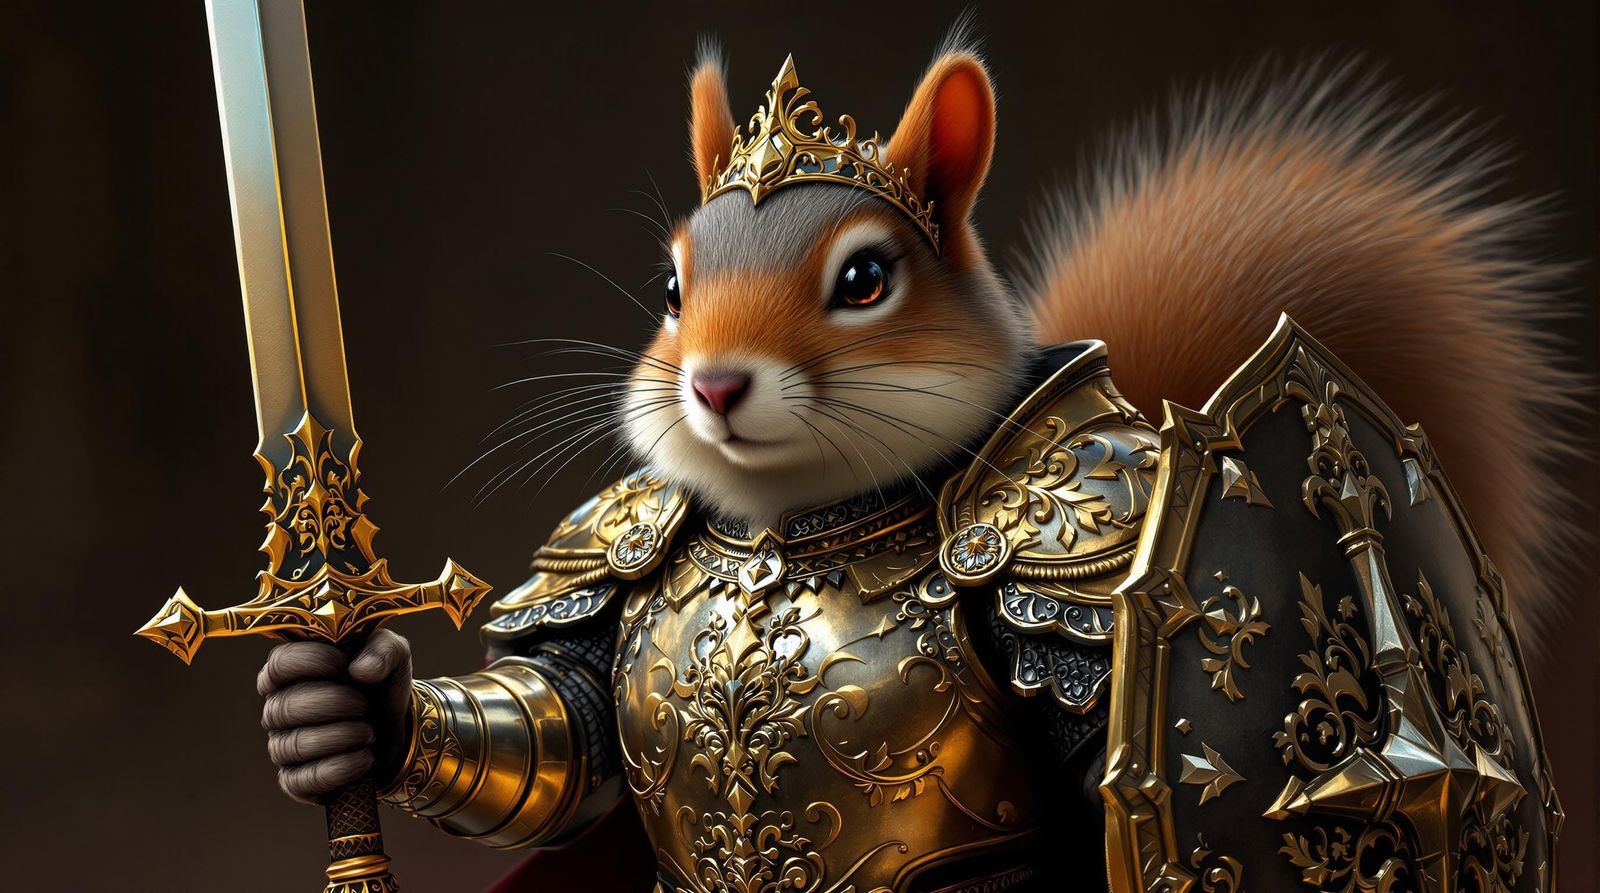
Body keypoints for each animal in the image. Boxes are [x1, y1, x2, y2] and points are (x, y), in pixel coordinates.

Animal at [254, 34, 1579, 890]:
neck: (788, 519)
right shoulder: (606, 553)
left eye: (864, 278)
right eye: (672, 288)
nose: (714, 382)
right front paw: (343, 706)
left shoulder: (1074, 581)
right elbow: (557, 731)